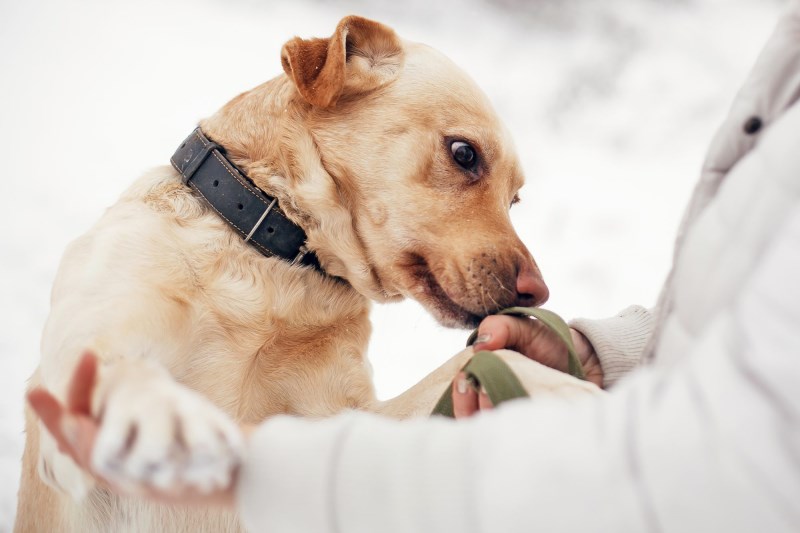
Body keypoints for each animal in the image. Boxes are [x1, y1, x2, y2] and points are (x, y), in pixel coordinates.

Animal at [17, 14, 600, 528]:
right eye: (464, 153)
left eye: (515, 199)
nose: (539, 293)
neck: (275, 269)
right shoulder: (81, 375)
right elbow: (117, 368)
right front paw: (162, 416)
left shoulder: (340, 431)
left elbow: (477, 362)